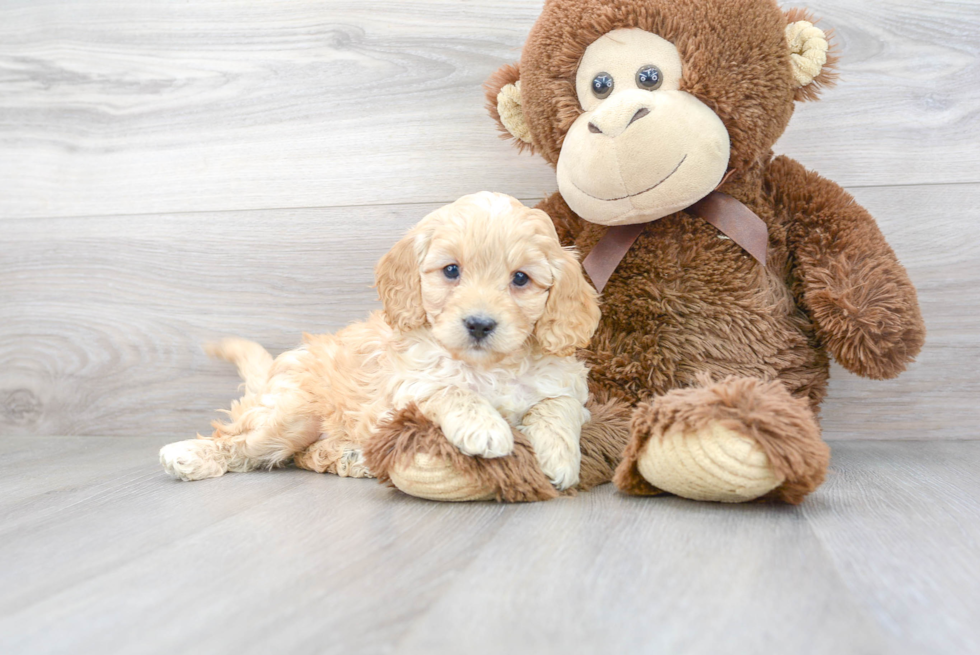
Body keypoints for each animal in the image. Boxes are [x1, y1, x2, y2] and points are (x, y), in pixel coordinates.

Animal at [161, 195, 600, 492]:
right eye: (451, 271)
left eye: (521, 279)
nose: (479, 324)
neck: (487, 365)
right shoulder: (407, 387)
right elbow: (449, 389)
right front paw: (485, 426)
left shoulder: (565, 384)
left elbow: (558, 407)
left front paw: (557, 457)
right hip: (292, 413)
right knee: (241, 441)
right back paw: (190, 455)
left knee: (300, 454)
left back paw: (351, 457)